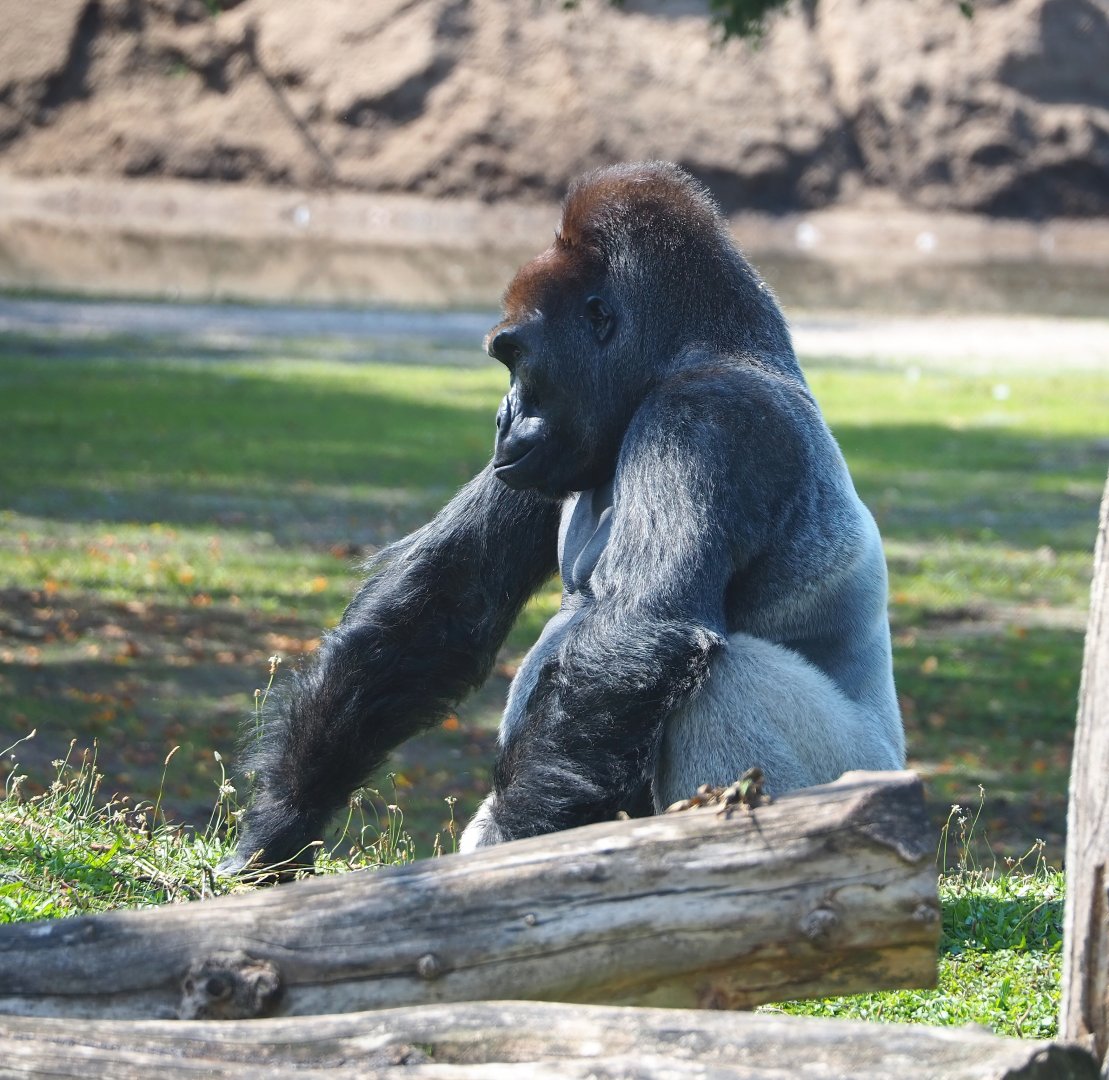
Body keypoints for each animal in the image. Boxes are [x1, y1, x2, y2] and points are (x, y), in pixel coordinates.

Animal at [221, 161, 904, 871]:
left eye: (517, 358)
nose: (501, 418)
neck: (704, 351)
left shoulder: (705, 419)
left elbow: (639, 628)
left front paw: (505, 854)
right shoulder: (552, 456)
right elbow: (443, 605)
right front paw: (280, 826)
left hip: (850, 771)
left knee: (725, 682)